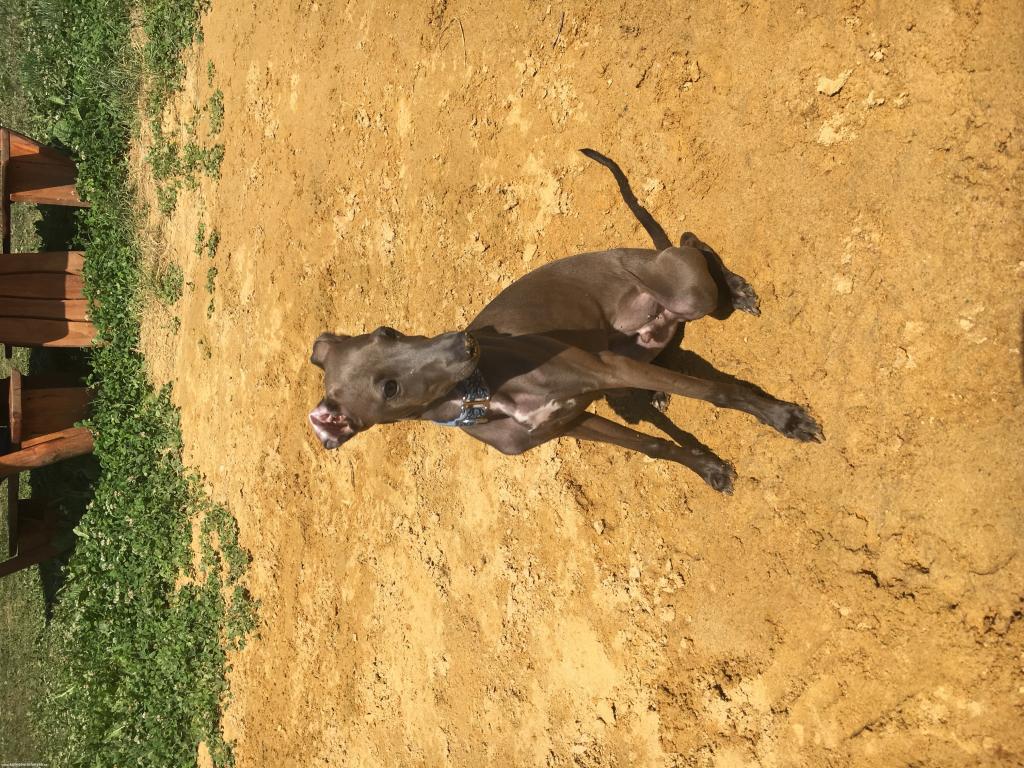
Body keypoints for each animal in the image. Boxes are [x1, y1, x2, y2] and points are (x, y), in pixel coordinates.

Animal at [309, 150, 822, 493]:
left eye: (388, 332)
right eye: (389, 389)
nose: (466, 342)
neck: (484, 393)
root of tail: (647, 254)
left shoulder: (603, 371)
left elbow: (718, 392)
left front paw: (785, 418)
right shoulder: (575, 420)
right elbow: (654, 447)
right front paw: (706, 467)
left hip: (682, 293)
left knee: (691, 239)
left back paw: (735, 288)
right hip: (637, 346)